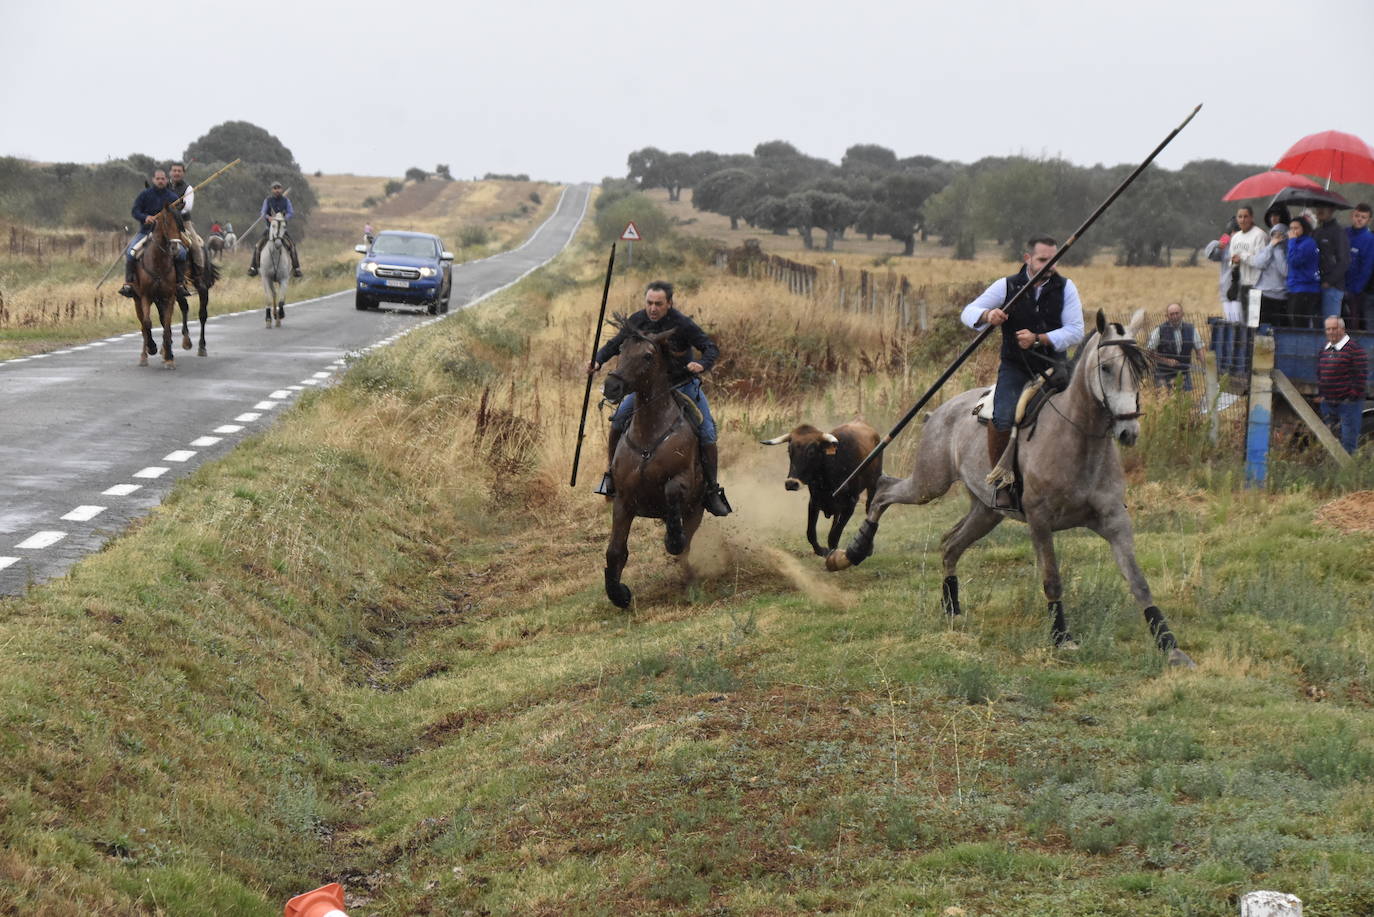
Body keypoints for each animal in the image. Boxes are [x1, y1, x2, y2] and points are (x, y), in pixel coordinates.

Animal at [604, 325, 708, 604]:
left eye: (648, 356)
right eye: (620, 349)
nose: (611, 385)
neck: (649, 434)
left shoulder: (682, 481)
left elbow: (672, 492)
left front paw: (673, 540)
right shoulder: (623, 501)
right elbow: (615, 551)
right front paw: (619, 594)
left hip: (697, 508)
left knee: (687, 545)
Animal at [763, 420, 879, 555]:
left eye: (811, 452)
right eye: (789, 450)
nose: (791, 483)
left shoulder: (851, 503)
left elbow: (834, 535)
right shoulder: (814, 501)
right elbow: (811, 533)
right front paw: (822, 550)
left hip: (873, 485)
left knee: (870, 509)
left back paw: (869, 548)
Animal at [824, 310, 1192, 668]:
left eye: (1140, 370)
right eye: (1106, 367)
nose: (1129, 432)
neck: (1078, 441)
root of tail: (938, 411)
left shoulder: (1115, 521)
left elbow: (1139, 582)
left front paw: (1169, 645)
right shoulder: (1040, 521)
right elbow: (1052, 579)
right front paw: (1062, 637)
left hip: (986, 511)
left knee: (949, 544)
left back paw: (951, 608)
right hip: (930, 483)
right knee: (884, 491)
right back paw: (850, 553)